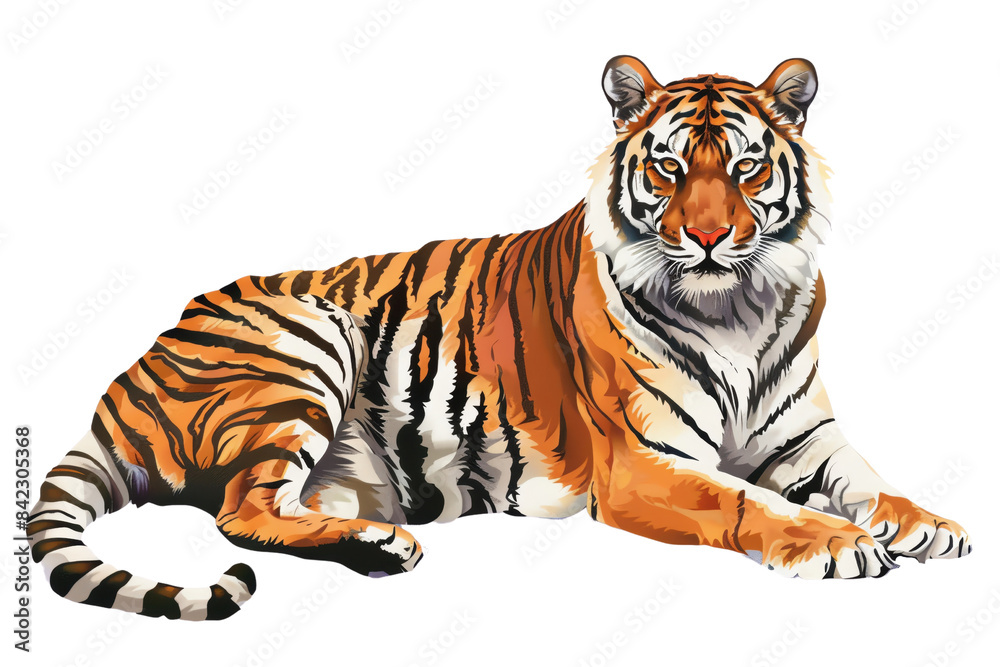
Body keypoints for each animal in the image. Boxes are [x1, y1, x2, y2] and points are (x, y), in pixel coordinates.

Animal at [28, 56, 972, 621]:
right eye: (668, 166)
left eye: (745, 167)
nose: (707, 236)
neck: (734, 307)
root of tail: (126, 379)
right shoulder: (640, 462)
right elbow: (747, 503)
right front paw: (841, 544)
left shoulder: (804, 435)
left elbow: (869, 479)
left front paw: (930, 525)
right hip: (304, 342)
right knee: (240, 511)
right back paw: (381, 548)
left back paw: (373, 540)